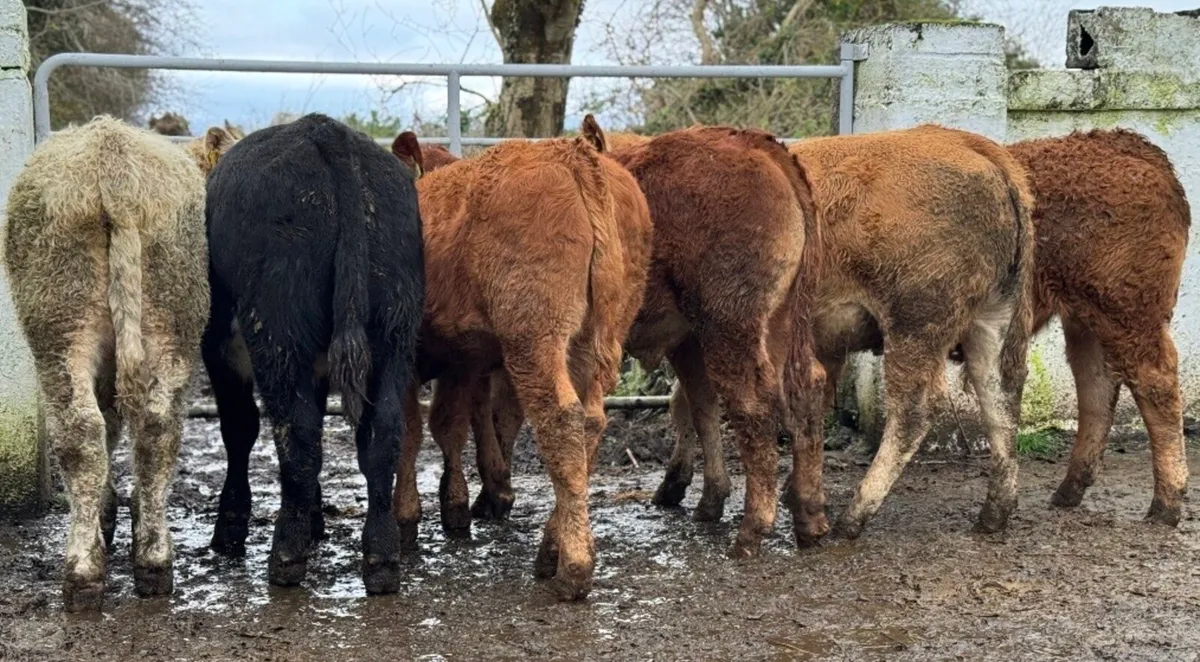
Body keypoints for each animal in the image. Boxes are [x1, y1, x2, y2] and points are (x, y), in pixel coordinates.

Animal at [3, 117, 236, 611]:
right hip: (170, 323)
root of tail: (112, 160)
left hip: (60, 331)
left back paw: (83, 571)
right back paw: (152, 560)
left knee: (81, 434)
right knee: (156, 430)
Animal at [203, 113, 425, 595]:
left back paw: (286, 553)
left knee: (297, 435)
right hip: (395, 333)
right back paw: (381, 557)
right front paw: (317, 521)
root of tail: (325, 131)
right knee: (382, 436)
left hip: (278, 334)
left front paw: (231, 525)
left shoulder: (218, 344)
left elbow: (239, 428)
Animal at [387, 116, 653, 600]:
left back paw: (573, 567)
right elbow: (448, 426)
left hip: (534, 338)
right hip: (597, 340)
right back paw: (554, 546)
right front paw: (453, 505)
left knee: (560, 419)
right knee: (590, 422)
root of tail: (574, 155)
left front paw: (407, 516)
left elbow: (412, 431)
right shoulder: (462, 362)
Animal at [468, 124, 827, 555]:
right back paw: (808, 515)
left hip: (730, 329)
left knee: (754, 406)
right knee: (804, 388)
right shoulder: (686, 344)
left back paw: (752, 530)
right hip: (779, 324)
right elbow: (699, 407)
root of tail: (756, 143)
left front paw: (491, 499)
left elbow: (499, 418)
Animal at [1009, 129, 1191, 524]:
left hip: (1129, 317)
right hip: (1087, 319)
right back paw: (1070, 488)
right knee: (1097, 385)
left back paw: (1165, 505)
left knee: (1155, 384)